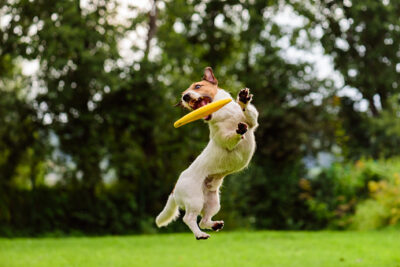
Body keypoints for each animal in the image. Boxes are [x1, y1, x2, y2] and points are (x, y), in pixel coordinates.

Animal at [155, 67, 258, 241]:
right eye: (183, 94)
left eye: (197, 86)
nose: (185, 97)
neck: (224, 113)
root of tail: (175, 189)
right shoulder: (224, 139)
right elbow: (230, 137)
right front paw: (238, 131)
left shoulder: (252, 122)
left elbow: (248, 115)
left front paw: (243, 99)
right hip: (195, 200)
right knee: (189, 218)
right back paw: (200, 234)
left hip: (212, 201)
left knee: (203, 220)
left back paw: (214, 225)